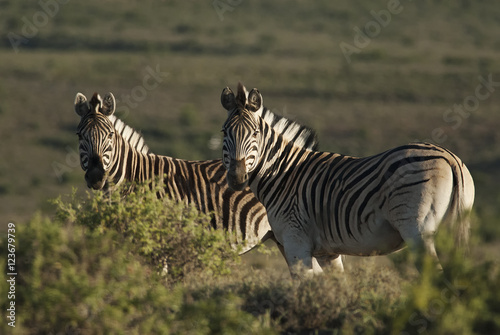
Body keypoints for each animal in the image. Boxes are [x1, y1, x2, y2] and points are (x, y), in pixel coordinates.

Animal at [221, 83, 474, 278]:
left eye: (255, 133)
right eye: (224, 132)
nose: (236, 177)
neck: (283, 174)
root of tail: (450, 157)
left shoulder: (295, 242)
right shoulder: (327, 252)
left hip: (418, 230)